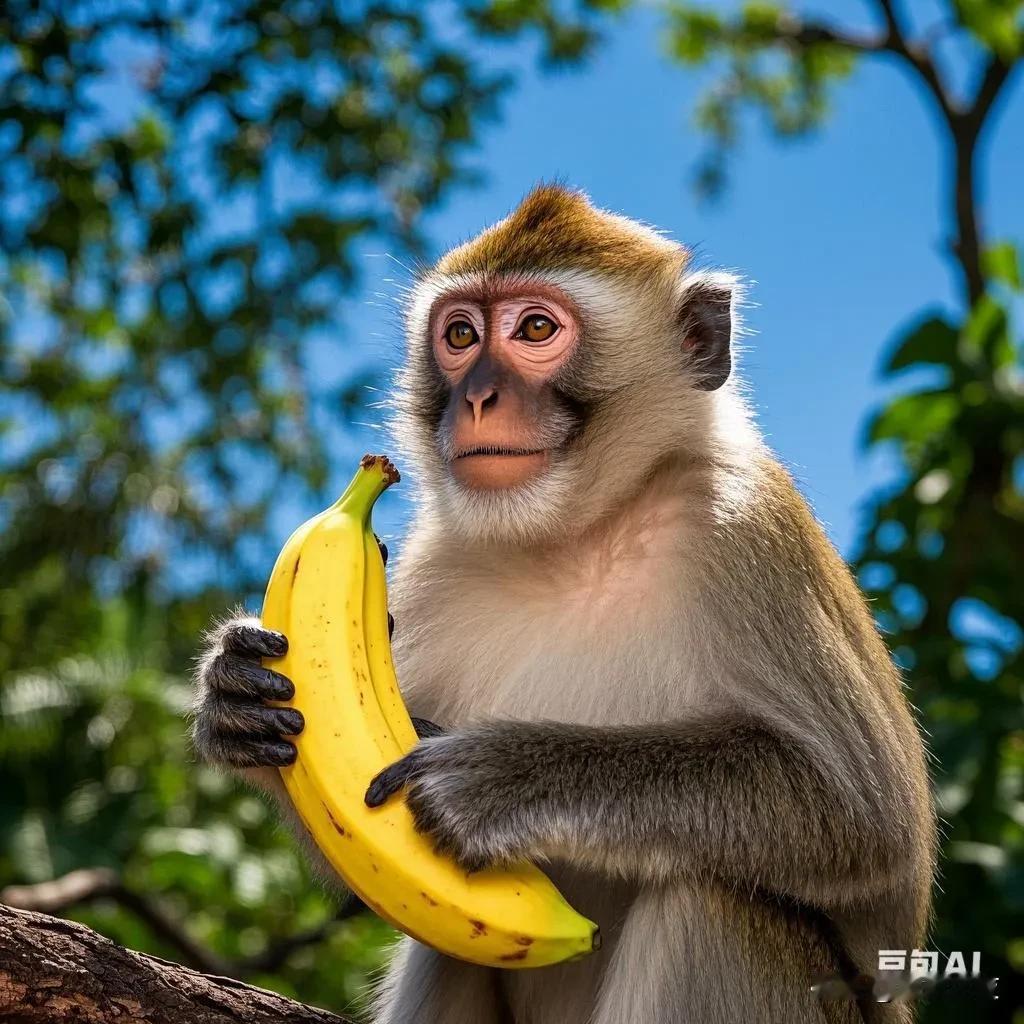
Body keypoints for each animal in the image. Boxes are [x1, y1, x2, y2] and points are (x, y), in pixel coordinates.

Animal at [192, 186, 937, 1024]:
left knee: (710, 897)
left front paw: (497, 781)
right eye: (460, 335)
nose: (478, 398)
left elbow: (864, 817)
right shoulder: (437, 558)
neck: (577, 538)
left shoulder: (743, 529)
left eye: (537, 329)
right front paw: (233, 697)